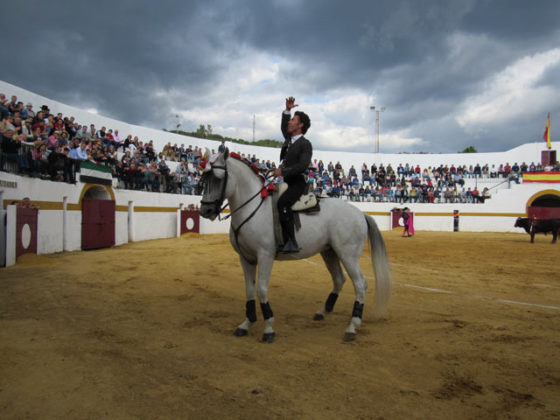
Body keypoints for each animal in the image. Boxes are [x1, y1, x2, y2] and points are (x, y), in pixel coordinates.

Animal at [200, 151, 390, 342]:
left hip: (348, 255)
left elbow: (261, 289)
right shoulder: (246, 258)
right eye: (203, 178)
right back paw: (323, 312)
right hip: (329, 252)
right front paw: (246, 324)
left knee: (360, 284)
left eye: (218, 178)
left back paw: (352, 327)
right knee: (339, 279)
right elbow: (249, 290)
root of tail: (360, 213)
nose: (205, 211)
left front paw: (268, 329)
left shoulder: (265, 256)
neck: (252, 208)